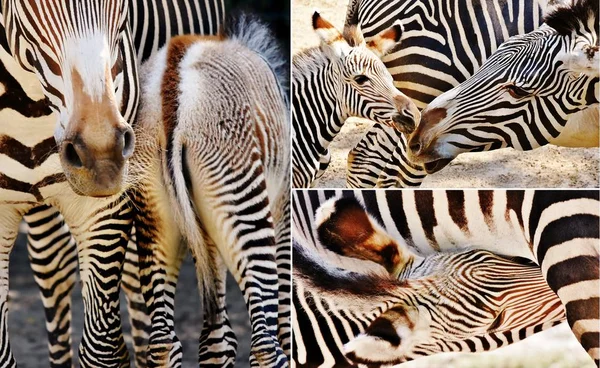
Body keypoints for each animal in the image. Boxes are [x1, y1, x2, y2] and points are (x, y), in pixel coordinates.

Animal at [132, 12, 290, 366]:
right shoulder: (284, 210)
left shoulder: (209, 233)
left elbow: (217, 339)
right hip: (243, 201)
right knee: (264, 344)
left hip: (154, 215)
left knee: (164, 342)